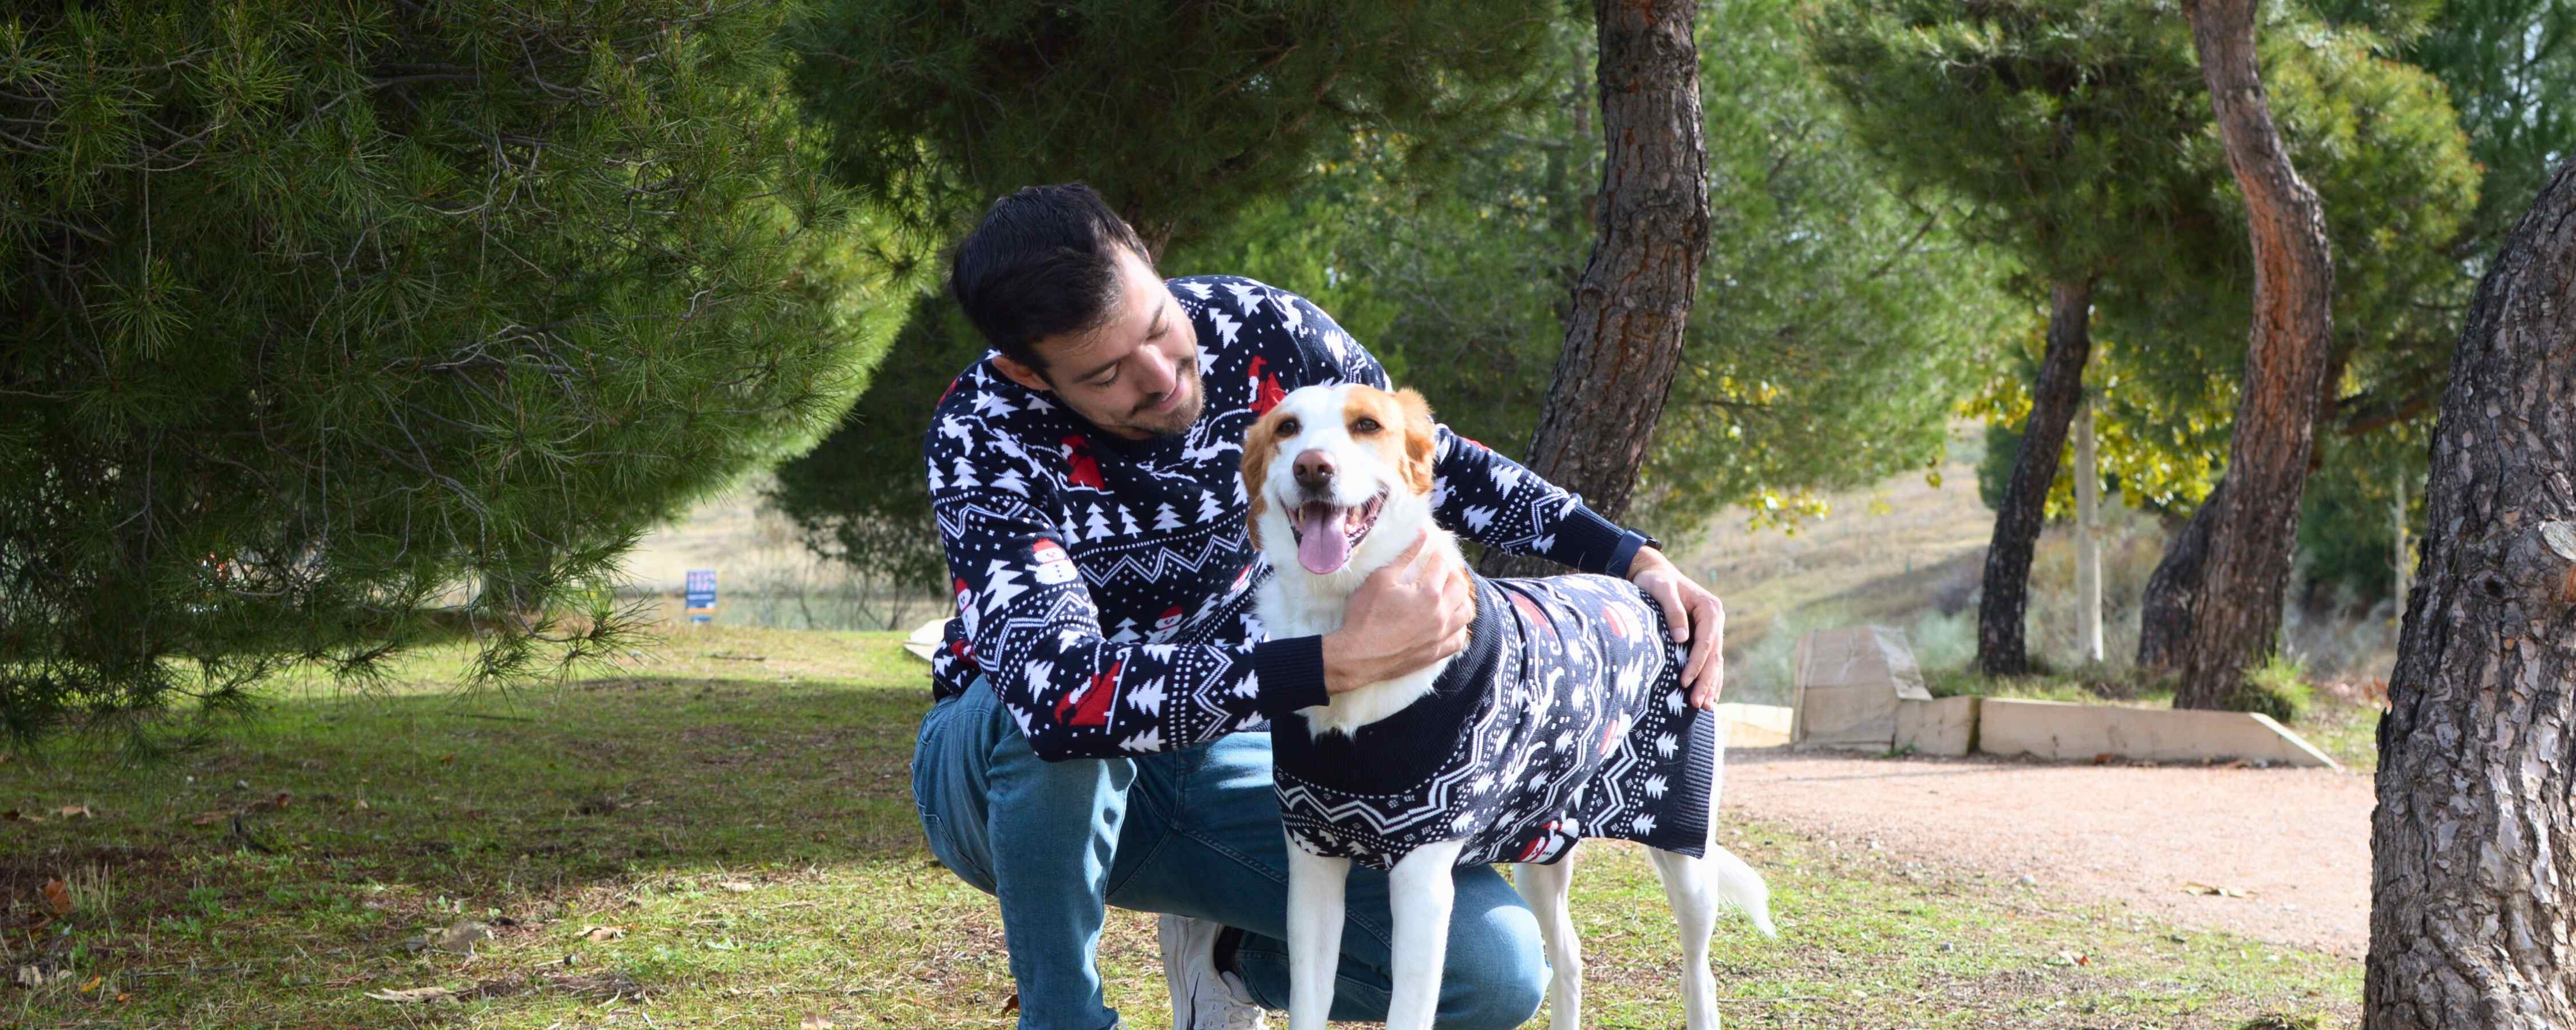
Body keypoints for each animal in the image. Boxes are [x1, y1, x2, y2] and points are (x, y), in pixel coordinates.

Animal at [1242, 383, 1772, 1030]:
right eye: (1287, 428)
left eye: (1367, 425)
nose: (1313, 467)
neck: (1340, 612)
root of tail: (1645, 592)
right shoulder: (1311, 865)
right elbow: (1308, 1004)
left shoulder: (1422, 882)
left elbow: (1408, 1011)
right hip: (1540, 842)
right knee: (1568, 956)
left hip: (1685, 853)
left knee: (1699, 973)